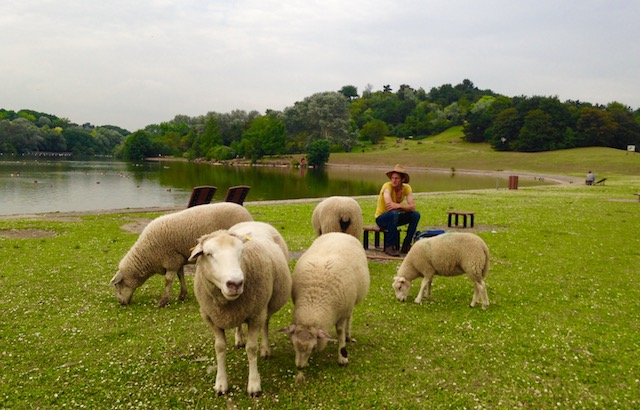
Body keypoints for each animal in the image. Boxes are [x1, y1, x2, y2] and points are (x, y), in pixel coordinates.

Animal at [109, 203, 251, 306]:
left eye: (117, 285)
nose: (121, 303)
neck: (147, 253)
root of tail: (246, 212)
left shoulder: (171, 261)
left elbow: (168, 281)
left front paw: (163, 301)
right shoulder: (178, 260)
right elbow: (180, 276)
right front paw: (182, 294)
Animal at [188, 221, 292, 398]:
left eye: (241, 251)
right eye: (209, 254)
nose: (235, 283)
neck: (226, 305)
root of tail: (255, 222)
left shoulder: (256, 314)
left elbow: (251, 349)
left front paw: (254, 385)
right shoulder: (212, 318)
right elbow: (219, 348)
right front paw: (221, 384)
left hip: (266, 304)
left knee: (266, 324)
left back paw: (265, 349)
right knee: (238, 323)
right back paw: (239, 339)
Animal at [278, 232, 370, 370]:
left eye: (312, 348)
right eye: (293, 344)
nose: (299, 367)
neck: (314, 301)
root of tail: (339, 233)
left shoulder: (342, 312)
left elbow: (340, 332)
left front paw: (342, 356)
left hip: (351, 303)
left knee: (349, 317)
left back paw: (348, 335)